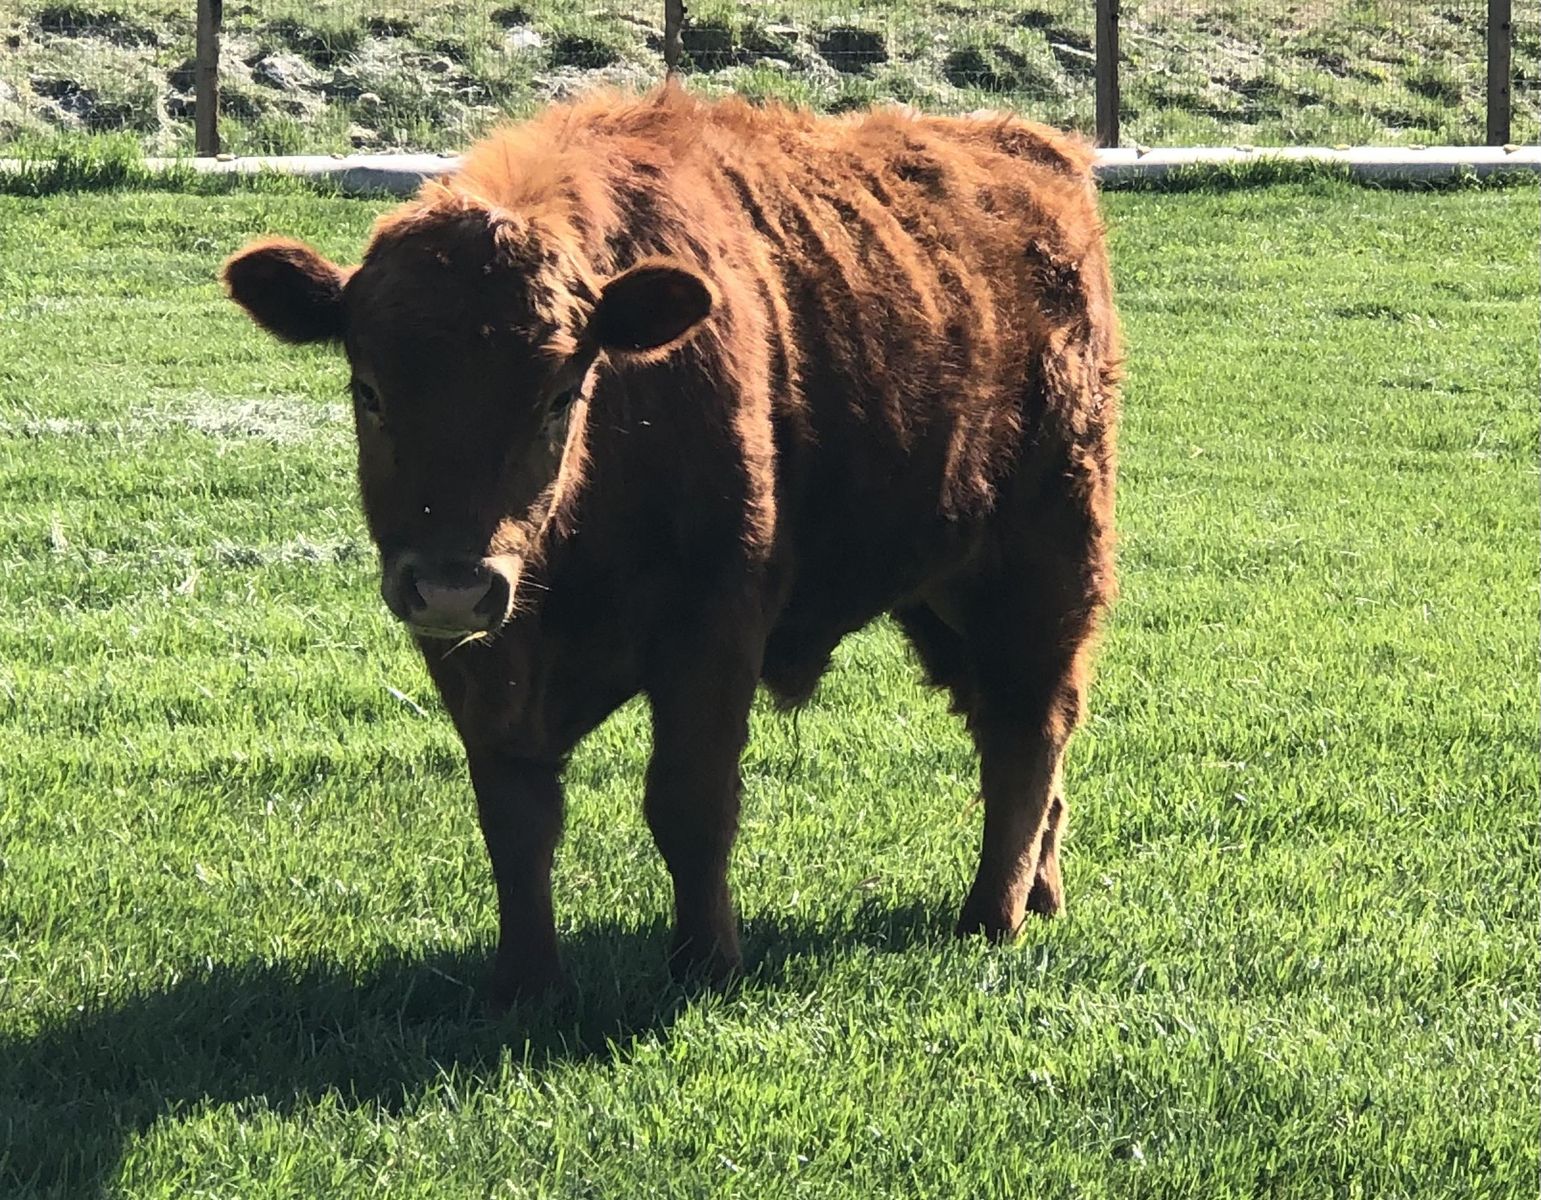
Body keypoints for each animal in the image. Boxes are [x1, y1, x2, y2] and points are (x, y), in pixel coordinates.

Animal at [221, 84, 1121, 1007]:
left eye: (561, 392)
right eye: (367, 388)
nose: (450, 586)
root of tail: (1038, 156)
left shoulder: (714, 624)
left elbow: (689, 801)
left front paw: (706, 963)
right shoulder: (479, 656)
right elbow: (516, 814)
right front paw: (525, 982)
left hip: (1043, 557)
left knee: (1030, 721)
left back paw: (990, 914)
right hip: (939, 590)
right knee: (1002, 718)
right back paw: (1038, 888)